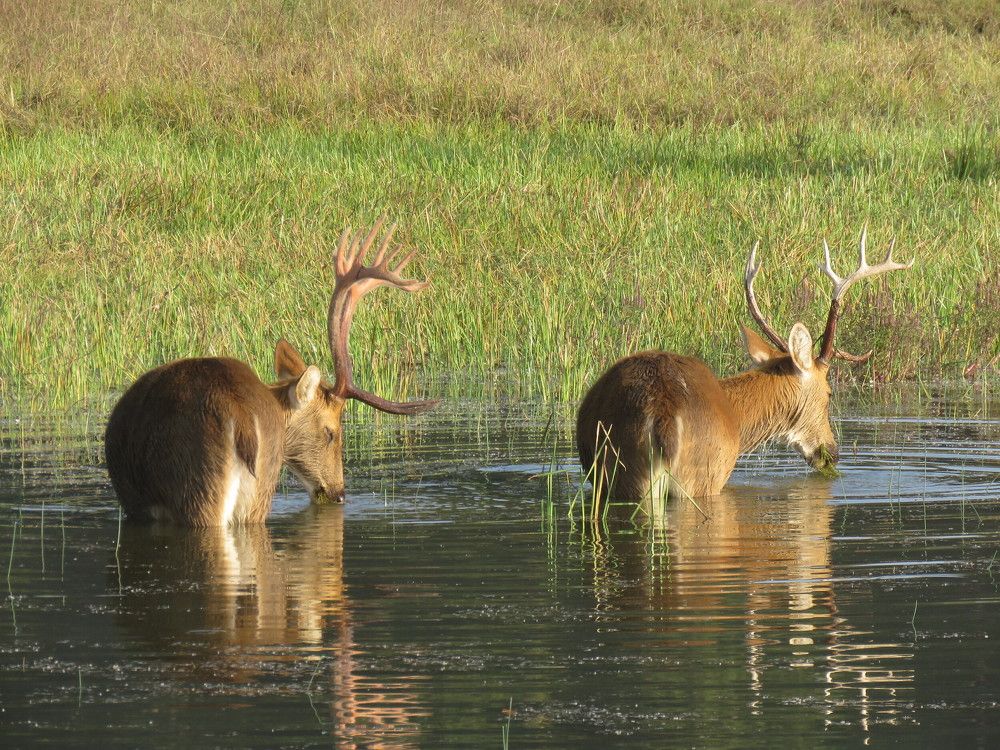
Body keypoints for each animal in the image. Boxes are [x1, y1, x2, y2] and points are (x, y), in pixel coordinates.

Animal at [576, 228, 913, 502]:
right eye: (829, 393)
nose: (832, 452)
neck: (738, 415)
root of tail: (663, 414)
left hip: (621, 472)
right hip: (702, 476)